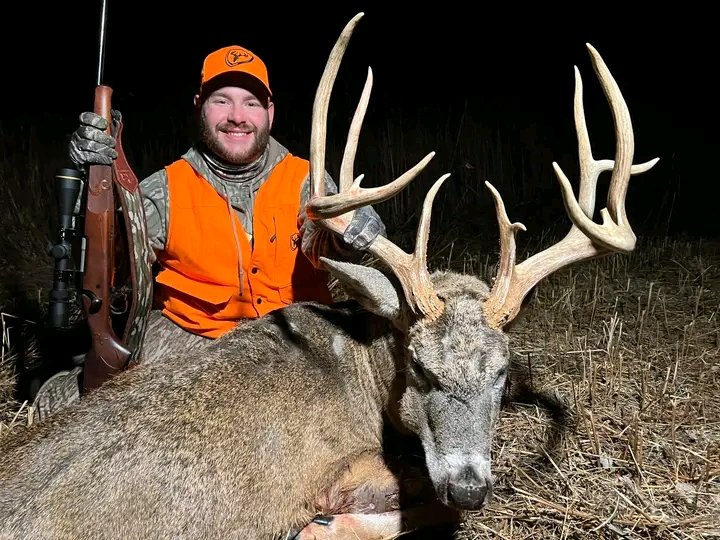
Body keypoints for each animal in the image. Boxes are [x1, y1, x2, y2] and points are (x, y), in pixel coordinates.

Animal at [0, 11, 660, 540]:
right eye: (420, 368)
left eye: (502, 372)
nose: (471, 486)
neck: (363, 366)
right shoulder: (347, 468)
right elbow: (423, 507)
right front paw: (327, 524)